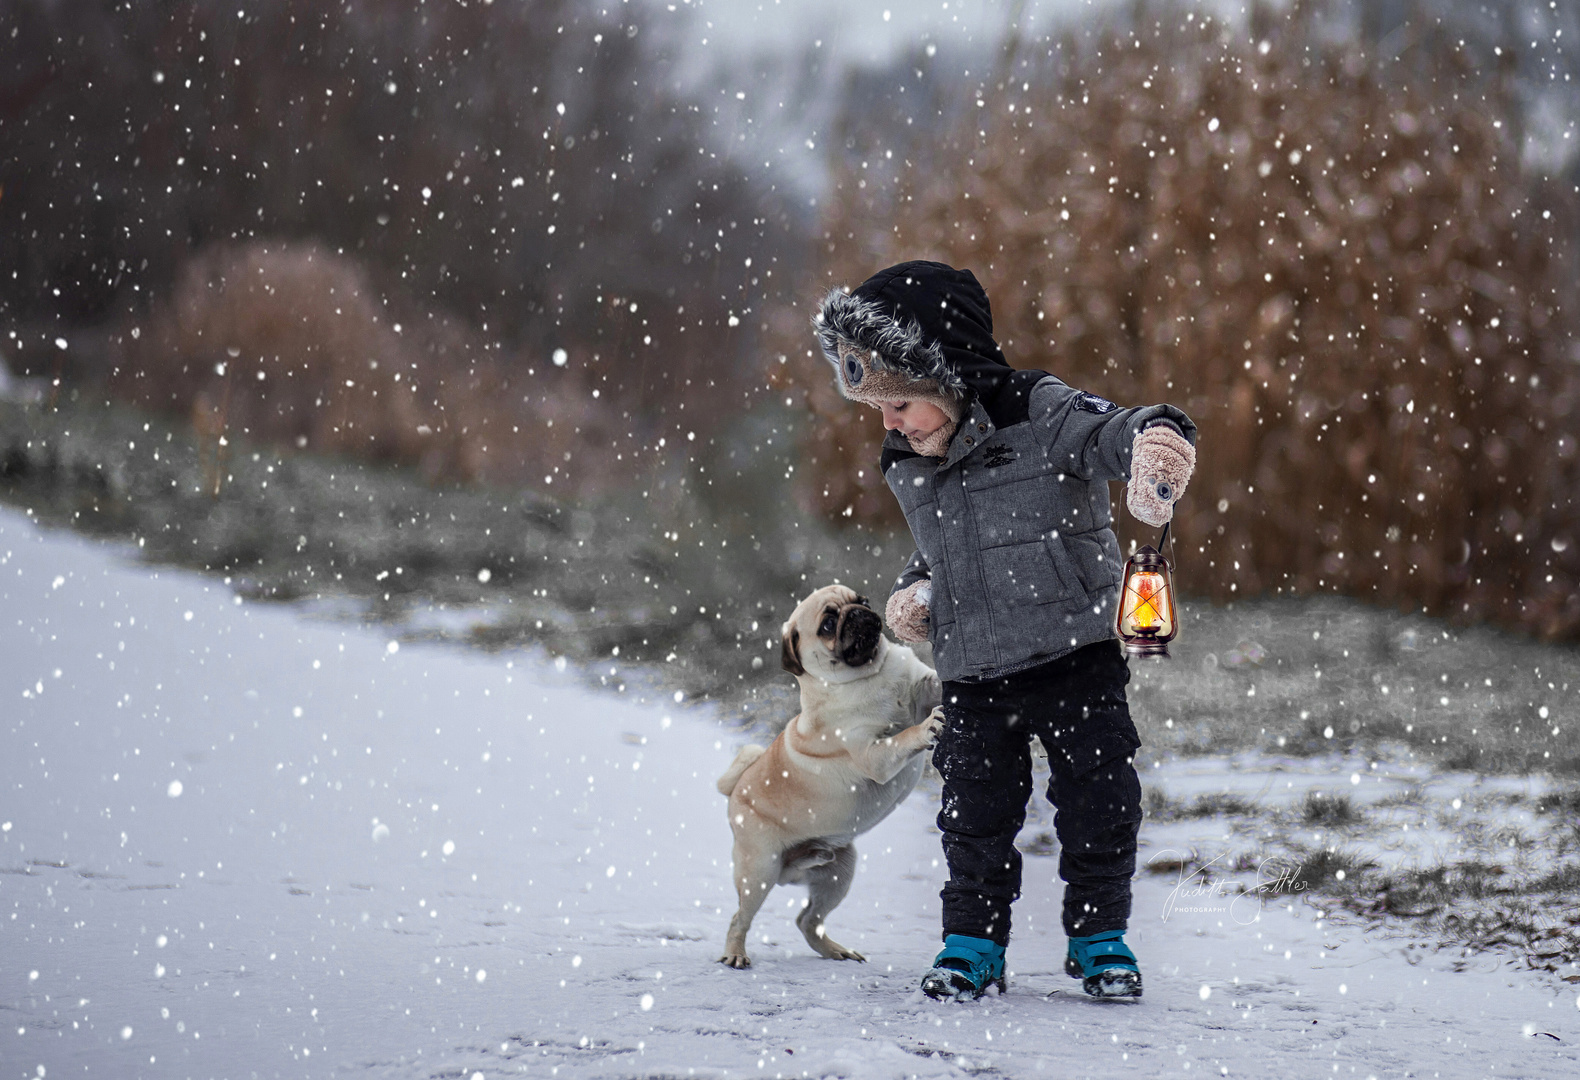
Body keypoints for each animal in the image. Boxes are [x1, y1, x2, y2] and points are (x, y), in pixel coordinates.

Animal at [723, 587, 941, 966]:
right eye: (827, 624)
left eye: (862, 600)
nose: (857, 613)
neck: (870, 675)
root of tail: (735, 790)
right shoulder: (873, 754)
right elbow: (902, 737)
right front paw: (925, 729)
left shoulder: (922, 685)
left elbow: (936, 683)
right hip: (759, 870)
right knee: (741, 917)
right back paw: (735, 953)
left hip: (840, 871)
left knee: (807, 920)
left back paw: (835, 947)